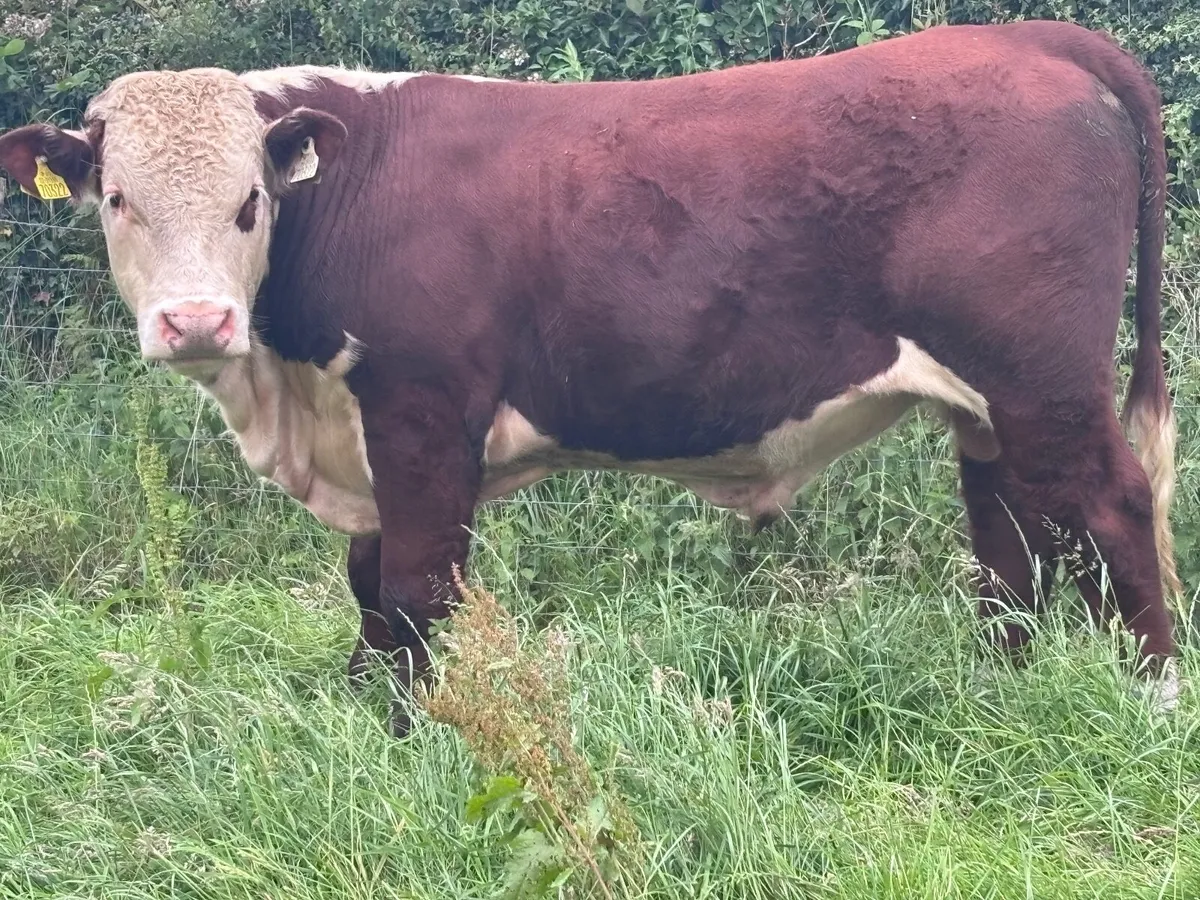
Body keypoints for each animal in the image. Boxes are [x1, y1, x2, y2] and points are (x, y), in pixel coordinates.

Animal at [0, 20, 1184, 737]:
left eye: (251, 200)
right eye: (118, 199)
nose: (196, 321)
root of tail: (1020, 34)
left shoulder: (424, 411)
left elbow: (414, 586)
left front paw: (406, 736)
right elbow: (368, 584)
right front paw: (360, 712)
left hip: (1043, 379)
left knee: (1114, 508)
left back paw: (1153, 697)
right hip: (993, 402)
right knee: (1015, 531)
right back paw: (1000, 687)